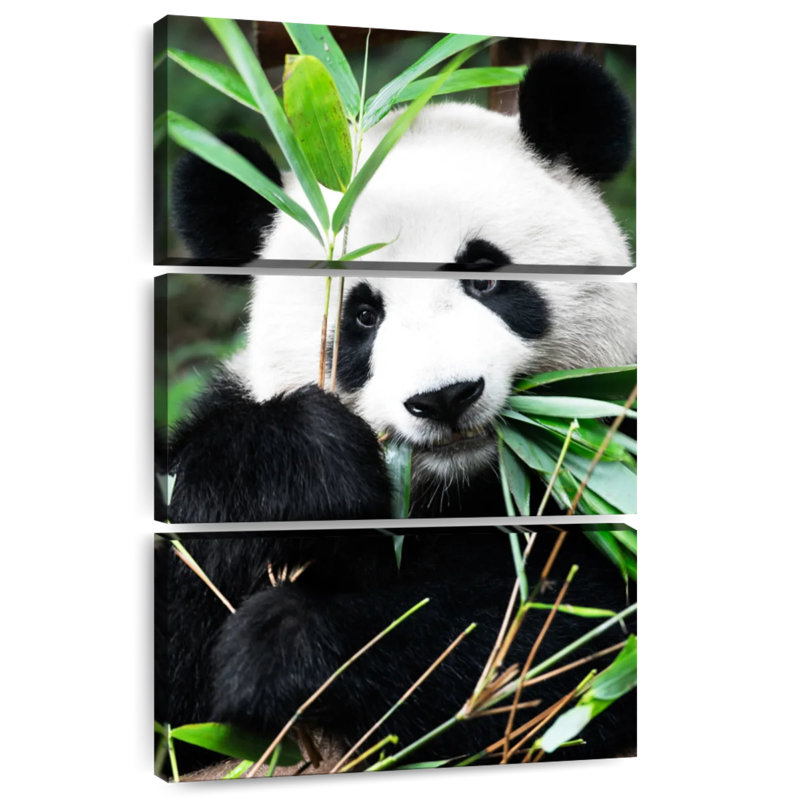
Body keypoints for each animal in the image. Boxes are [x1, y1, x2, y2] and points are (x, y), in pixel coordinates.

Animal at [155, 53, 636, 775]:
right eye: (362, 315)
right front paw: (300, 465)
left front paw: (287, 644)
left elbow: (565, 639)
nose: (444, 396)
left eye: (484, 276)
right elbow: (175, 641)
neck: (454, 491)